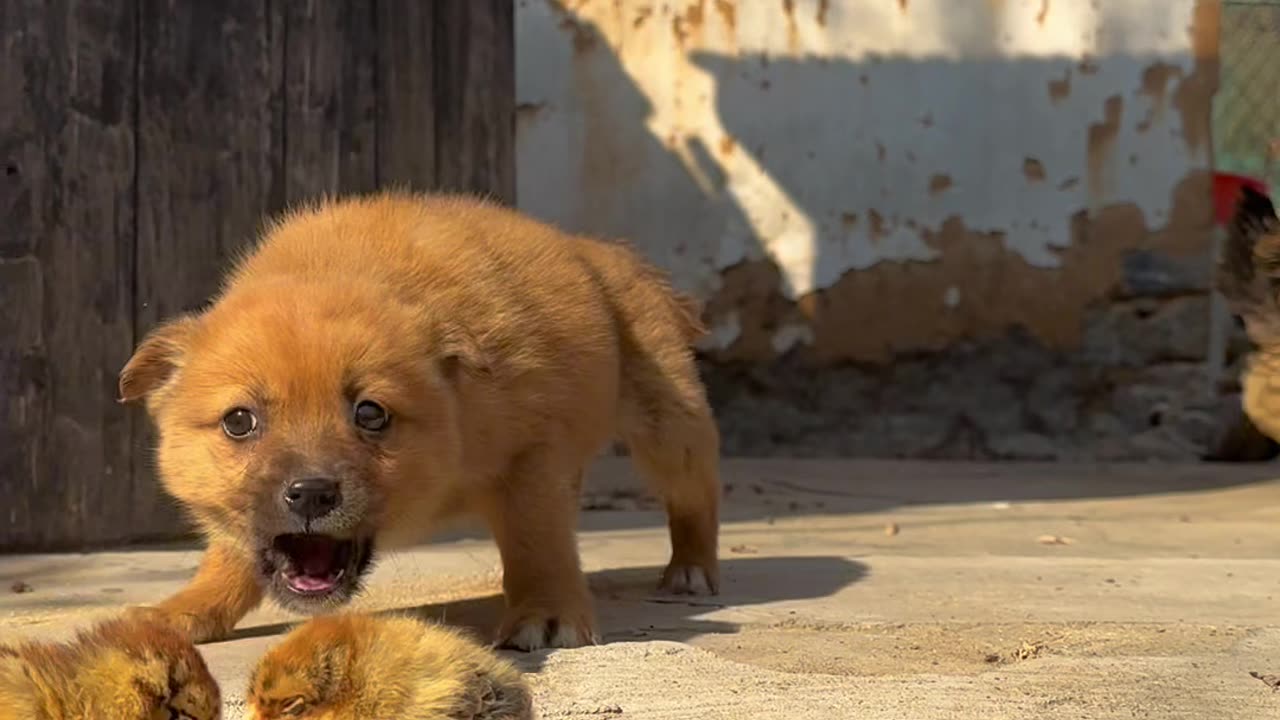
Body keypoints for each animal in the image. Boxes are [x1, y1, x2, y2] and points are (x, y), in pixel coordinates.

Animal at [120, 189, 721, 645]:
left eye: (371, 413)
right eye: (238, 422)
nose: (311, 495)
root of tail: (597, 250)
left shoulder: (531, 458)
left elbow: (537, 539)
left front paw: (547, 613)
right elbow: (231, 553)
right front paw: (186, 609)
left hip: (670, 425)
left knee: (695, 494)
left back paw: (690, 569)